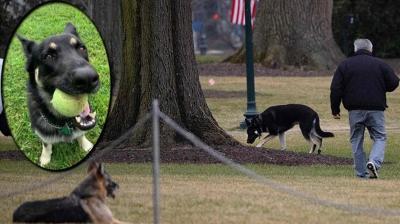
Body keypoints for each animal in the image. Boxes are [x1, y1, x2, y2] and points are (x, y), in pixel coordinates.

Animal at [18, 23, 100, 166]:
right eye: (48, 56)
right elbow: (46, 144)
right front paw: (45, 158)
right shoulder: (42, 134)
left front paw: (85, 145)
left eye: (81, 48)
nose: (88, 78)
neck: (63, 123)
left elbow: (81, 134)